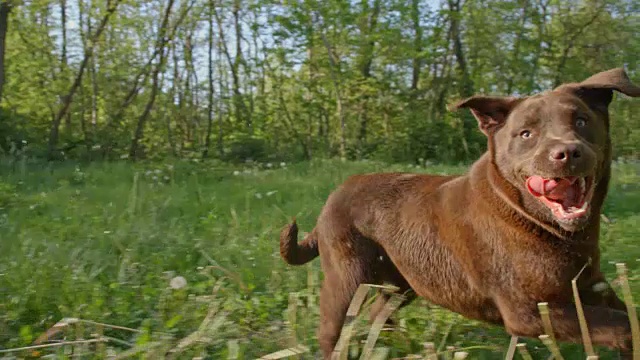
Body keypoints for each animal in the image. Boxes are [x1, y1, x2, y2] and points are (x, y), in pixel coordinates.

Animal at [278, 68, 640, 360]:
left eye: (581, 121)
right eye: (526, 134)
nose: (566, 152)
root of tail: (336, 192)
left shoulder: (590, 286)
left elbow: (627, 315)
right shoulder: (530, 311)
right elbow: (622, 325)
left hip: (404, 279)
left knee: (380, 313)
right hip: (347, 278)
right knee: (333, 329)